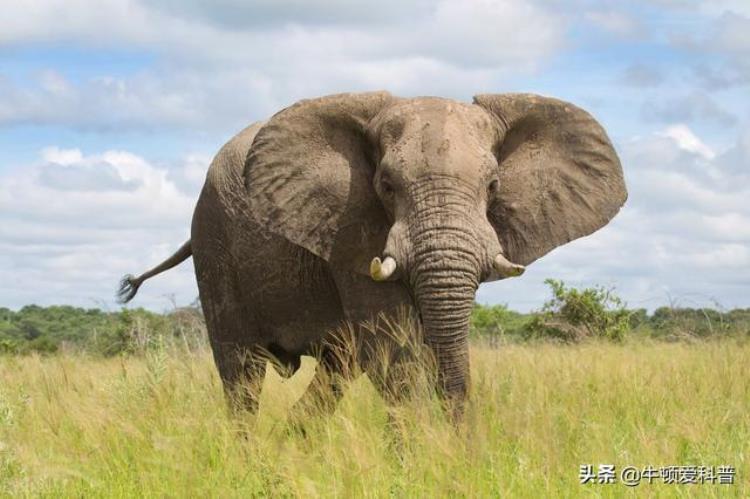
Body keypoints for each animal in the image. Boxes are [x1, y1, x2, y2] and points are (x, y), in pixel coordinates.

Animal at [117, 91, 628, 422]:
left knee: (336, 370)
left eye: (493, 186)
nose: (464, 449)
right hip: (212, 242)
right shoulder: (350, 227)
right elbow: (394, 350)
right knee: (241, 376)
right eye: (385, 185)